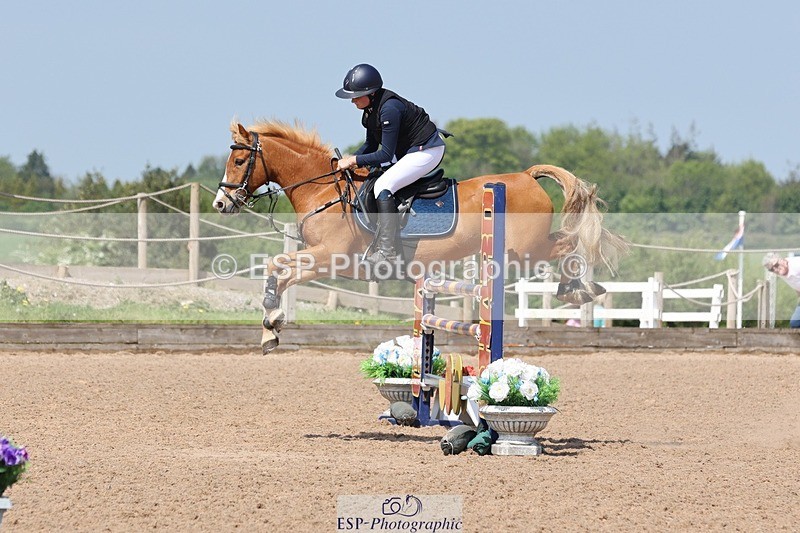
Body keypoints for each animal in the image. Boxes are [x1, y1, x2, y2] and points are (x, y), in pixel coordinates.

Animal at [214, 120, 627, 354]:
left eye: (239, 161)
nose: (220, 203)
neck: (323, 189)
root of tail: (525, 175)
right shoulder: (320, 258)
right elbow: (279, 271)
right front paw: (270, 331)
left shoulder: (330, 256)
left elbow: (277, 266)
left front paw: (272, 320)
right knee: (566, 241)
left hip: (524, 250)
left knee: (570, 243)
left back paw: (578, 289)